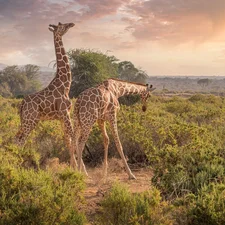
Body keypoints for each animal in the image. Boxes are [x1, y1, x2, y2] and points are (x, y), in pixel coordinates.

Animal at [14, 22, 84, 171]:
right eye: (62, 25)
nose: (71, 23)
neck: (65, 84)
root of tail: (22, 104)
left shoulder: (61, 117)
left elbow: (67, 140)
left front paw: (73, 167)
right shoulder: (65, 113)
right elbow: (73, 136)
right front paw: (80, 169)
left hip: (25, 120)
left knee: (16, 138)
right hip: (30, 121)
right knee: (21, 140)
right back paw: (17, 166)